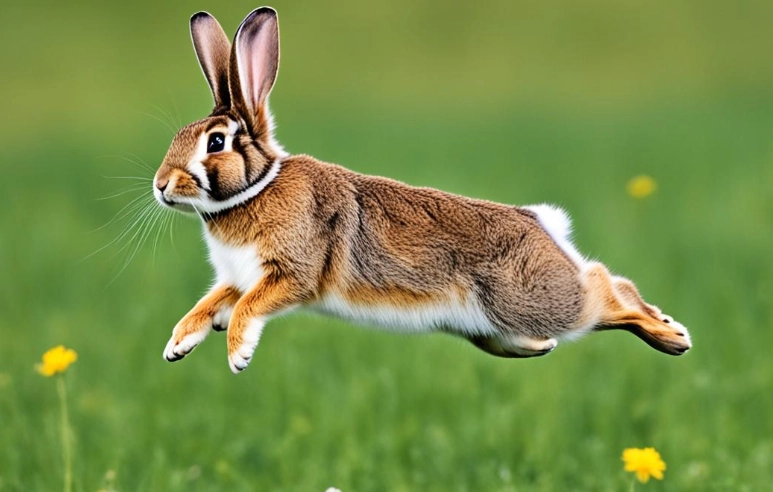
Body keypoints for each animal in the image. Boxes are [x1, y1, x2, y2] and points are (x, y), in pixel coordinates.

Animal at [153, 7, 691, 374]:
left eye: (216, 142)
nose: (161, 186)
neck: (254, 188)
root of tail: (541, 224)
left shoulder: (290, 272)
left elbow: (249, 307)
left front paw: (237, 354)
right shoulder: (236, 277)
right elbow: (211, 303)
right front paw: (177, 344)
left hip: (533, 301)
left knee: (605, 290)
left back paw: (672, 336)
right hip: (497, 331)